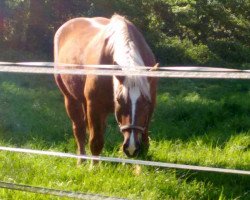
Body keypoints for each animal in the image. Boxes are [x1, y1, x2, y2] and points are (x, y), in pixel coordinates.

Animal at [53, 14, 157, 164]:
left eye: (146, 102)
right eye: (119, 101)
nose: (131, 147)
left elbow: (144, 140)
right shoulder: (95, 106)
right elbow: (96, 141)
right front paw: (94, 166)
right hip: (71, 99)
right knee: (79, 129)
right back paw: (82, 160)